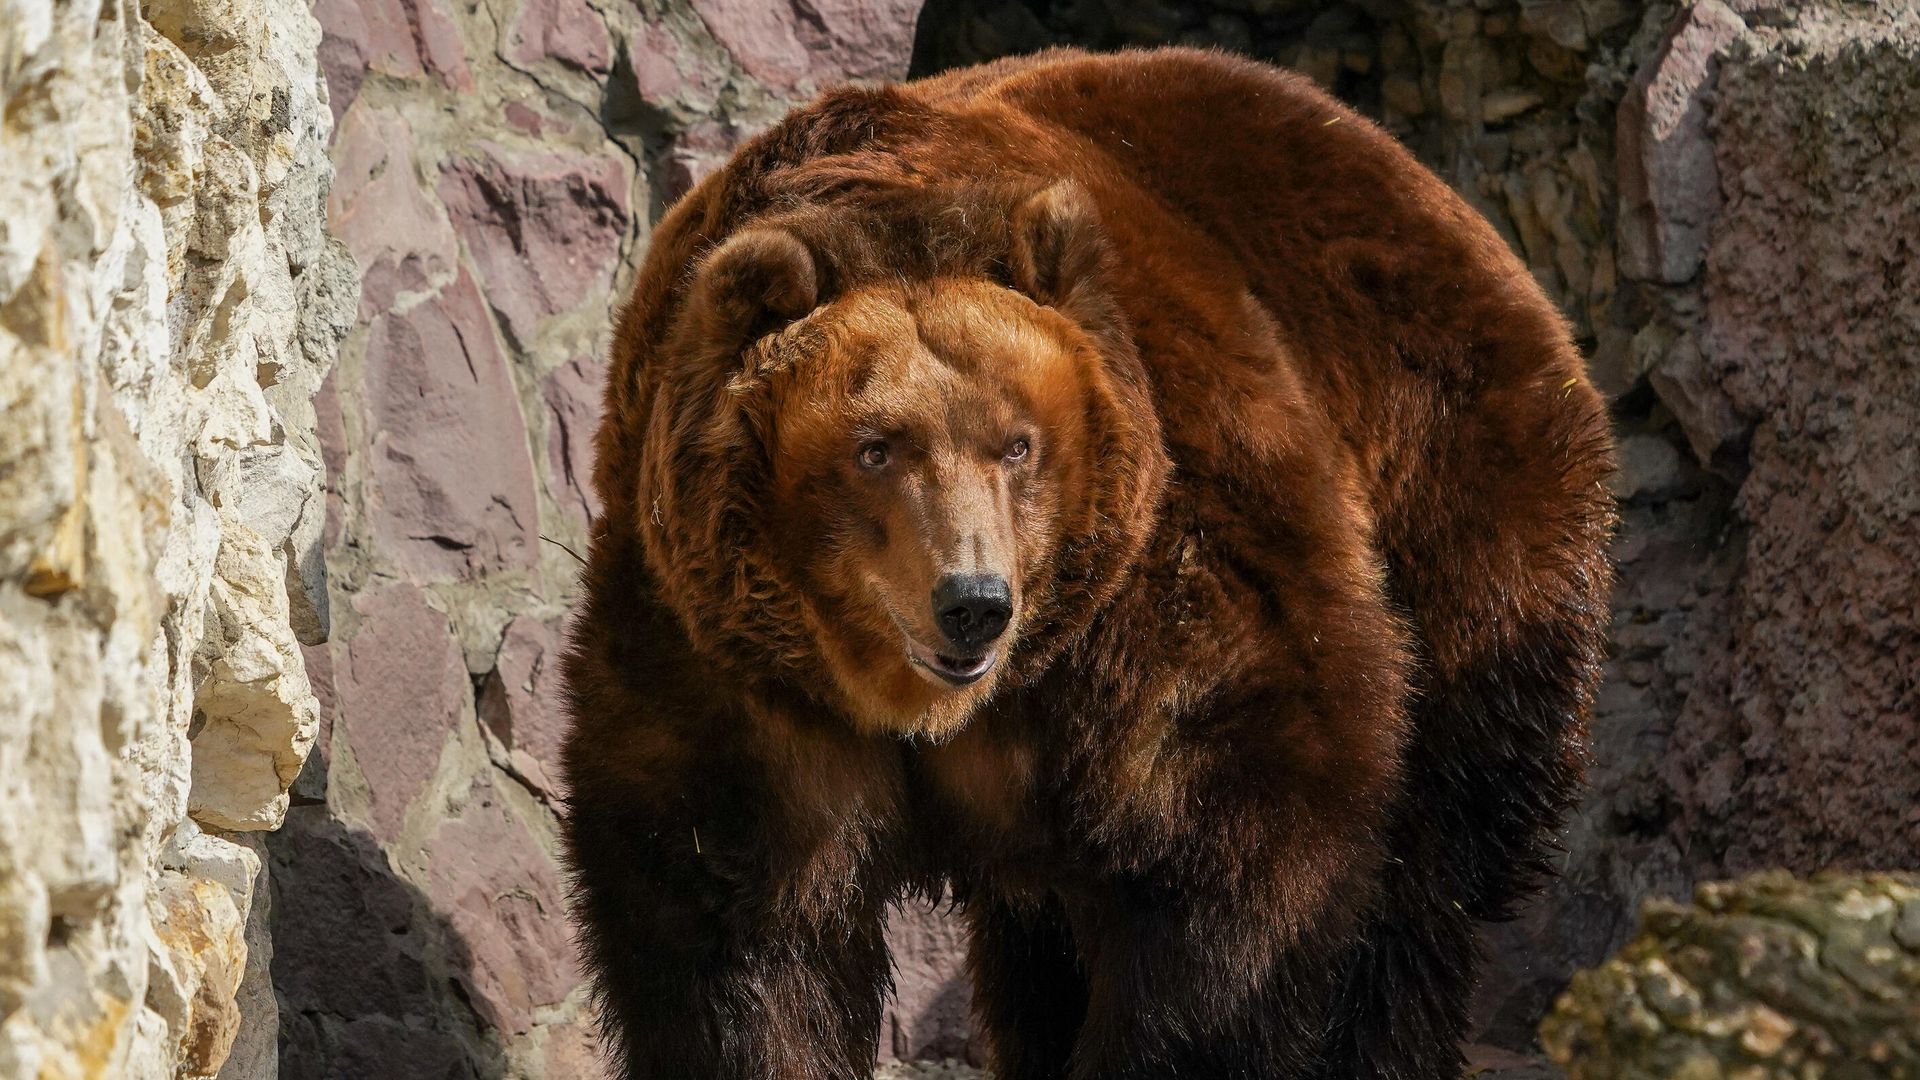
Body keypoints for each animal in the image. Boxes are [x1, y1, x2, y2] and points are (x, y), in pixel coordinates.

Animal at [559, 47, 1614, 1080]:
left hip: (1459, 504)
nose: (973, 602)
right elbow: (735, 923)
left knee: (1428, 866)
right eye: (875, 448)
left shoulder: (1157, 578)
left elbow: (1227, 855)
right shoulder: (731, 658)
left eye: (1016, 445)